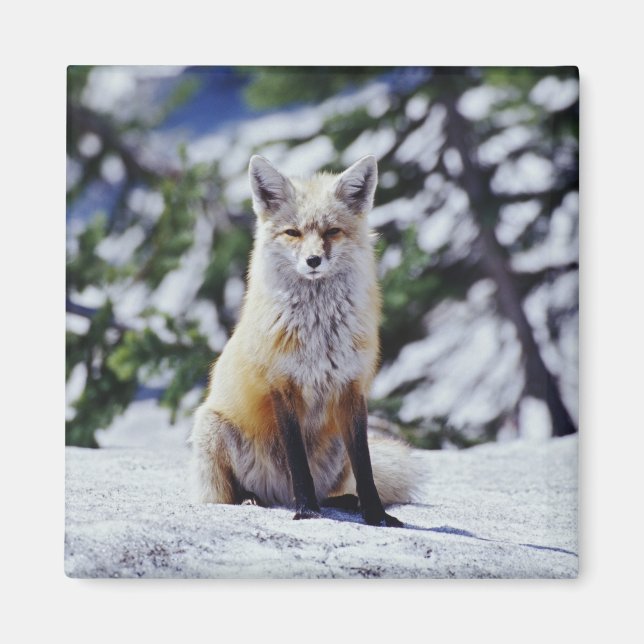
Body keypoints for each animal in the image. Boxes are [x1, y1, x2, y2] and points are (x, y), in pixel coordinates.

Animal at [190, 154, 420, 527]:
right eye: (293, 233)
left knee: (337, 486)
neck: (319, 334)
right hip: (212, 427)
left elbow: (366, 467)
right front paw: (308, 511)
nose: (313, 260)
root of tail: (278, 496)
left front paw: (376, 515)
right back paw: (252, 498)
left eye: (332, 232)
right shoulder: (282, 386)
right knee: (228, 494)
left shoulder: (351, 387)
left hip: (336, 447)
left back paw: (344, 501)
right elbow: (298, 462)